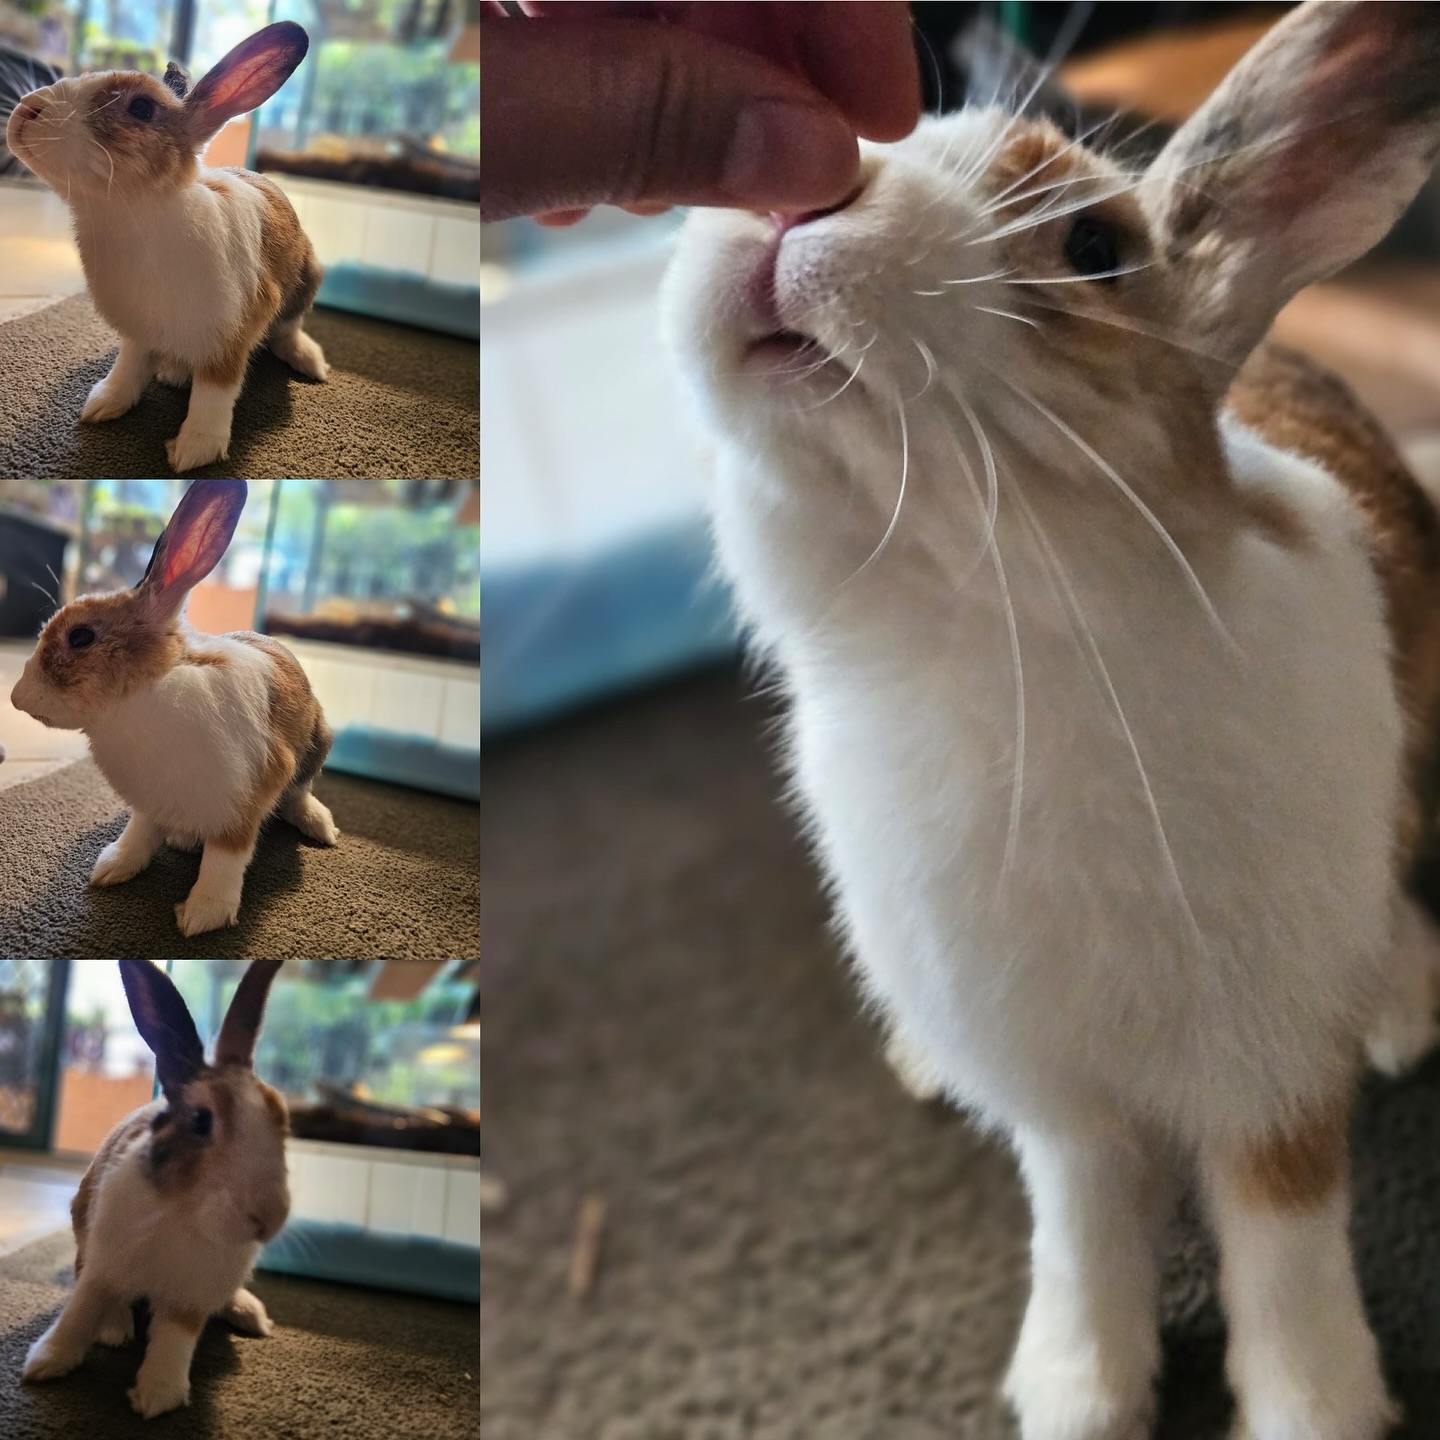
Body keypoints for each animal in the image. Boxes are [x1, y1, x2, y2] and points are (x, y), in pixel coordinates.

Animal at [3, 22, 327, 474]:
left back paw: (310, 363)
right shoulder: (138, 329)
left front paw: (194, 451)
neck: (134, 215)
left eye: (141, 108)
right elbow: (129, 367)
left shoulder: (232, 334)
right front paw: (103, 404)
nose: (27, 109)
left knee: (289, 330)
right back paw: (173, 371)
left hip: (307, 280)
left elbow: (214, 394)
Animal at [9, 480, 338, 937]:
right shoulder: (151, 800)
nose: (16, 697)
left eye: (80, 637)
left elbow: (226, 858)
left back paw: (321, 827)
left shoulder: (246, 797)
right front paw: (111, 868)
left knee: (299, 793)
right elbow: (139, 833)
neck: (141, 695)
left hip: (317, 745)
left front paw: (202, 915)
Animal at [22, 960, 292, 1419]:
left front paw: (157, 1397)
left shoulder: (192, 1295)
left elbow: (175, 1340)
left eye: (283, 1116)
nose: (270, 1216)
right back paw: (115, 1329)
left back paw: (249, 1313)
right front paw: (43, 1363)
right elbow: (79, 1313)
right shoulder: (103, 1264)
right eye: (201, 1120)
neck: (184, 1209)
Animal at [662, 3, 1440, 1437]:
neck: (1004, 635)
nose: (805, 193)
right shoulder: (1057, 1100)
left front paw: (1317, 1409)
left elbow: (1286, 1249)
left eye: (1093, 248)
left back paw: (1404, 1010)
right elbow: (1081, 1234)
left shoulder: (1276, 1077)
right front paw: (1079, 1393)